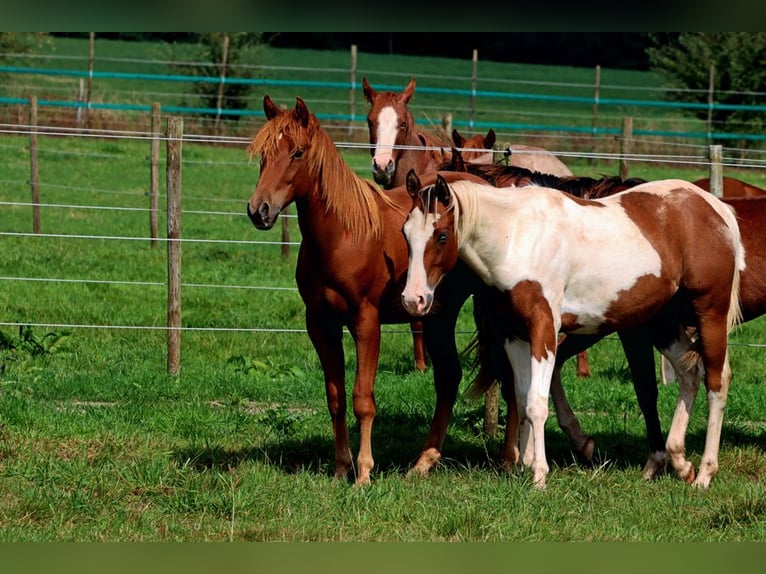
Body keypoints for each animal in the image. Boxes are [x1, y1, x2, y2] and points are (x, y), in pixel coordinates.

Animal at [402, 173, 744, 488]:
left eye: (442, 235)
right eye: (406, 234)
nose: (413, 299)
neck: (517, 237)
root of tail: (714, 208)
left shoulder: (543, 328)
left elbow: (536, 403)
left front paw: (539, 475)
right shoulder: (514, 335)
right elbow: (521, 398)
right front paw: (524, 466)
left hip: (709, 313)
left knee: (717, 383)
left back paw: (705, 474)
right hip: (663, 323)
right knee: (690, 374)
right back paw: (679, 463)